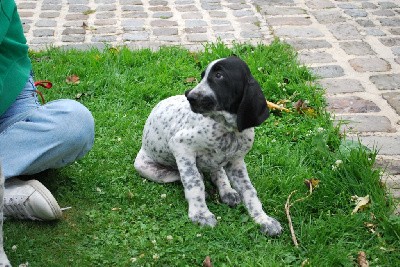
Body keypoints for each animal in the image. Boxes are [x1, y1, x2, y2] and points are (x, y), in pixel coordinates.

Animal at [136, 56, 282, 237]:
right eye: (202, 76)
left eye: (219, 75)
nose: (188, 95)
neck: (228, 129)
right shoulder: (180, 145)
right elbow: (194, 182)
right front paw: (201, 214)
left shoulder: (236, 162)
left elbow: (249, 191)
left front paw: (264, 219)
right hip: (153, 170)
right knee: (190, 176)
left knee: (217, 172)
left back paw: (227, 190)